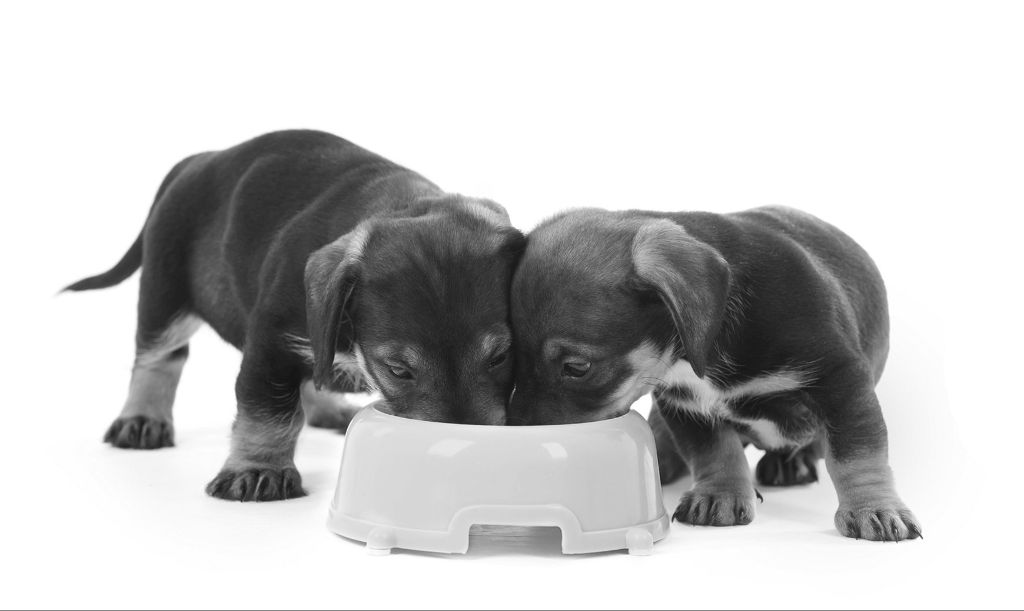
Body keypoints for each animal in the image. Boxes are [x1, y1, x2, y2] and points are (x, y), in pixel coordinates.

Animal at [68, 128, 524, 499]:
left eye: (502, 356)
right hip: (164, 294)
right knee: (158, 357)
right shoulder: (273, 345)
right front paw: (256, 470)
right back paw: (141, 420)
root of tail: (199, 159)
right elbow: (267, 409)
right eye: (398, 370)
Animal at [509, 207, 921, 540]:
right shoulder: (684, 403)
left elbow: (857, 454)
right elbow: (715, 451)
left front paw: (874, 509)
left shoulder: (841, 381)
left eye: (577, 368)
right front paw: (719, 494)